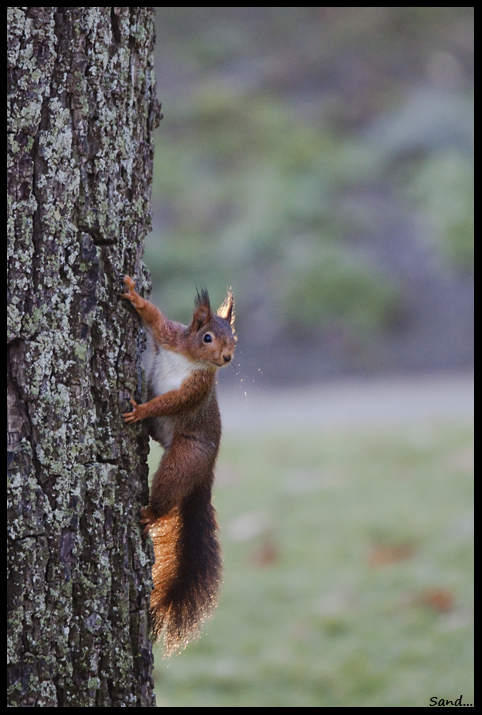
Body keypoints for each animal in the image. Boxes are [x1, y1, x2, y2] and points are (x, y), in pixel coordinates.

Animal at [121, 276, 236, 656]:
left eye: (234, 338)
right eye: (207, 337)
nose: (228, 357)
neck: (191, 360)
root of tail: (207, 472)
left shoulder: (195, 390)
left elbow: (171, 401)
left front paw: (142, 409)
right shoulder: (170, 337)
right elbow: (154, 319)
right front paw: (133, 293)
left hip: (183, 460)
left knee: (167, 492)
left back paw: (150, 514)